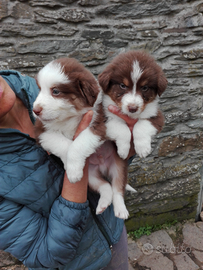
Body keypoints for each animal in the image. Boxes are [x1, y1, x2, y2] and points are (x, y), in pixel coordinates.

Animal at [66, 50, 167, 219]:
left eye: (145, 87)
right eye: (122, 85)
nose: (132, 108)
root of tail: (102, 168)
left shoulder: (156, 116)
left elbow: (141, 125)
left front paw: (142, 148)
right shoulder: (104, 119)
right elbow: (122, 128)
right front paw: (124, 149)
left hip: (119, 169)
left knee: (117, 189)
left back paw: (120, 210)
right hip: (90, 177)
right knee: (106, 187)